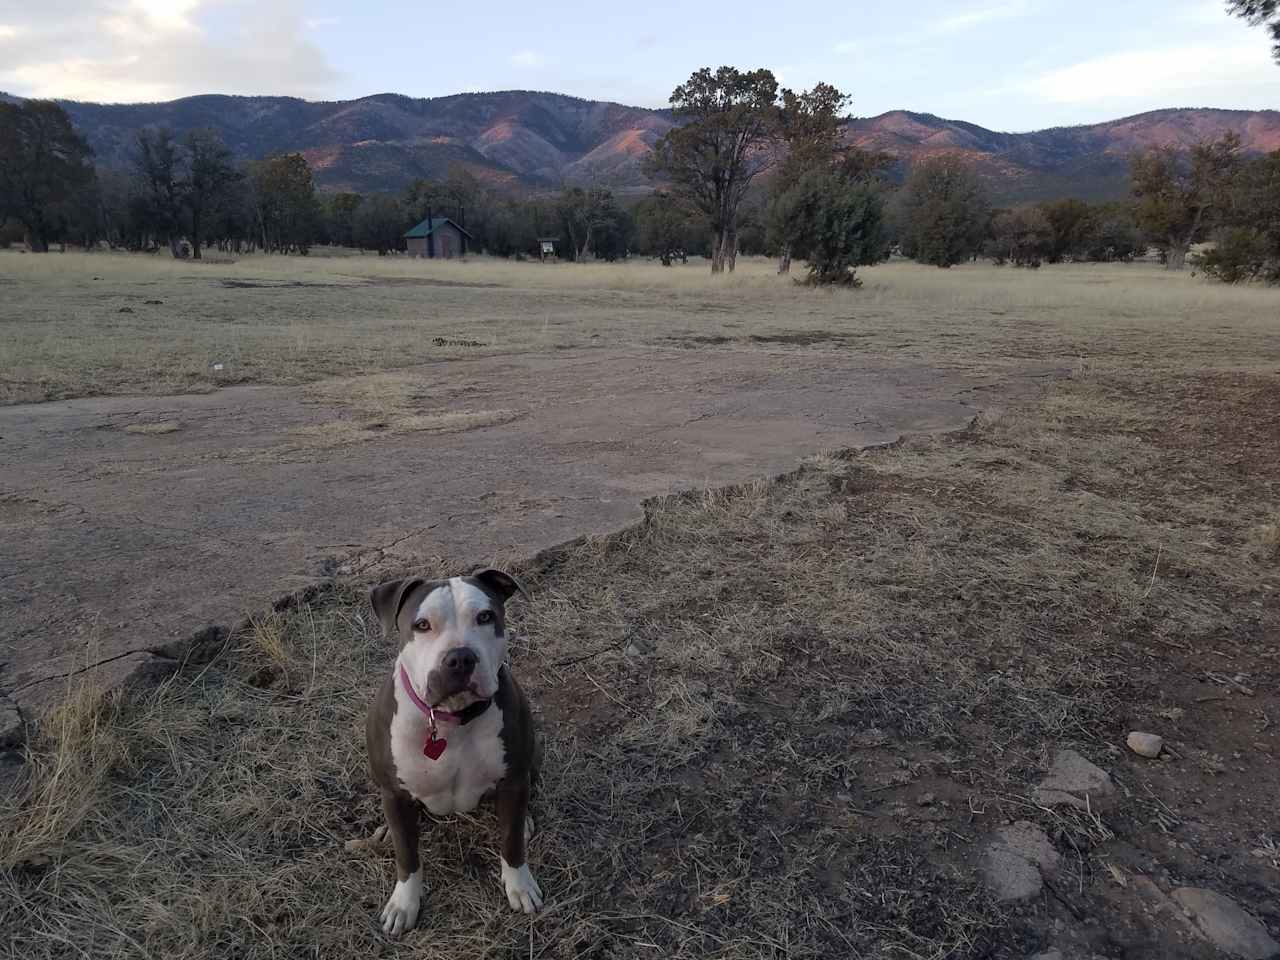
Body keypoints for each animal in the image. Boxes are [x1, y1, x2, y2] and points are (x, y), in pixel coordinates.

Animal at [366, 570, 540, 942]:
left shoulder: (513, 781)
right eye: (421, 625)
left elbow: (511, 842)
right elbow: (407, 855)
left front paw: (519, 885)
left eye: (485, 617)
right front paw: (404, 903)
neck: (451, 718)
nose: (459, 658)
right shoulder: (394, 793)